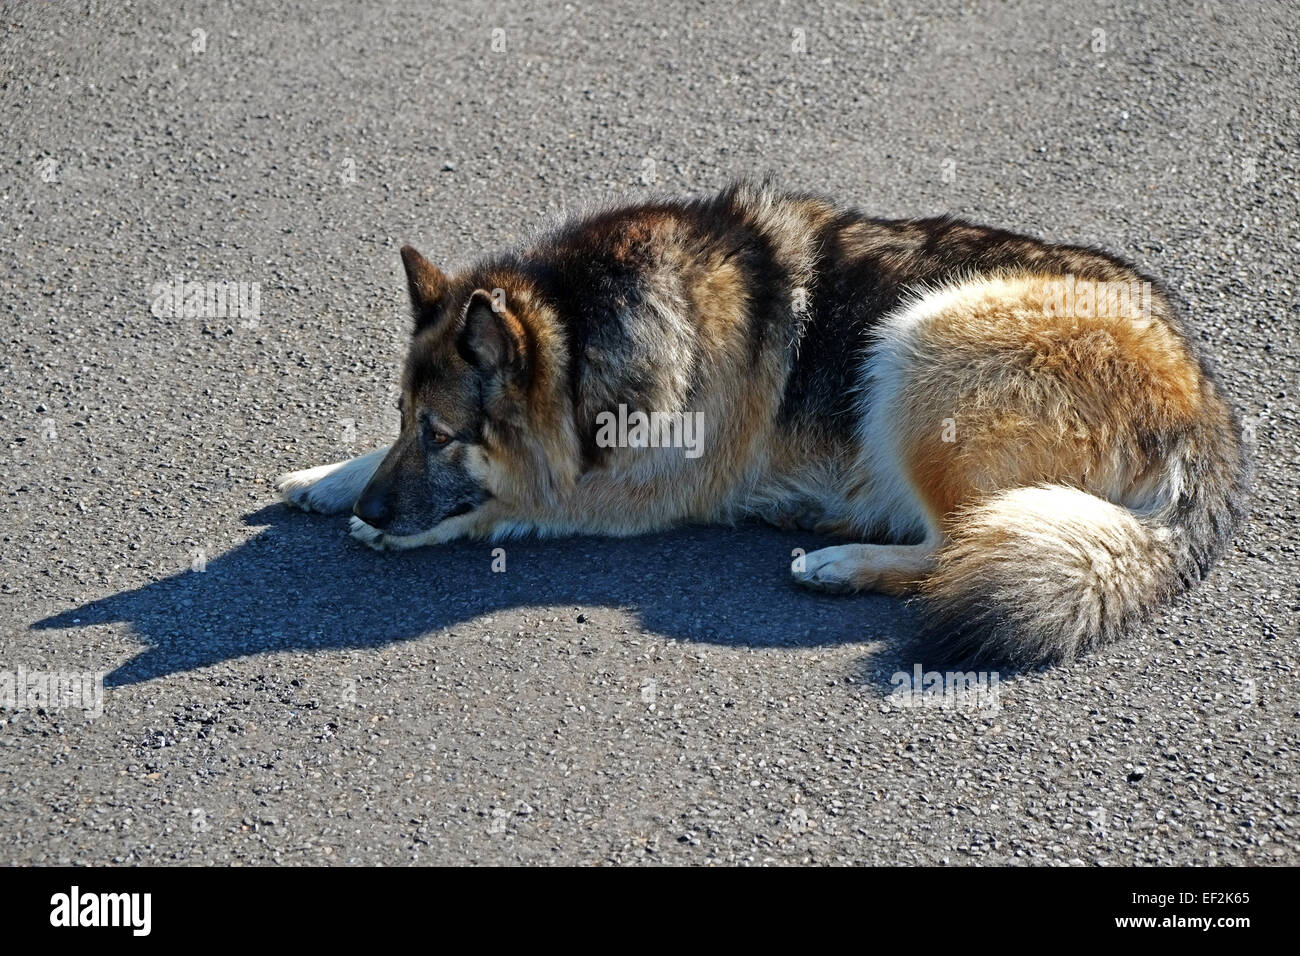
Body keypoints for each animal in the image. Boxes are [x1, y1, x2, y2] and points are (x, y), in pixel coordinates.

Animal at [276, 183, 1248, 671]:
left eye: (444, 436)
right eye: (407, 421)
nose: (370, 505)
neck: (582, 328)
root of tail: (1206, 410)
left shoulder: (629, 489)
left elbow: (509, 499)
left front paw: (389, 528)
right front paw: (328, 478)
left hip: (919, 343)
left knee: (957, 545)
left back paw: (843, 561)